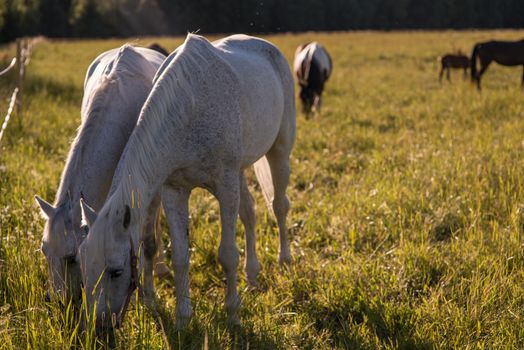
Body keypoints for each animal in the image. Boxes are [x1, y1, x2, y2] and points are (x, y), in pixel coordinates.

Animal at [80, 34, 296, 332]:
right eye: (83, 266)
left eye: (116, 271)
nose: (99, 326)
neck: (187, 109)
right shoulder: (174, 191)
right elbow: (181, 257)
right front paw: (183, 320)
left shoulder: (225, 186)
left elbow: (227, 254)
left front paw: (233, 315)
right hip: (240, 171)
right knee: (249, 213)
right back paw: (252, 276)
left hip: (279, 152)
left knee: (279, 206)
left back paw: (284, 261)